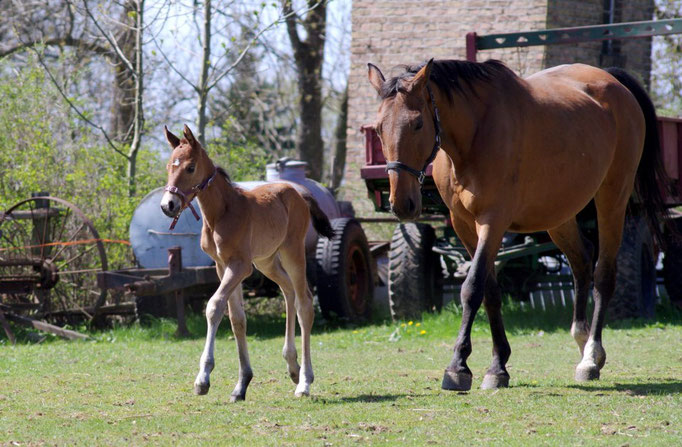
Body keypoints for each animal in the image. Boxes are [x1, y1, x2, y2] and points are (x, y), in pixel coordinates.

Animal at [157, 124, 332, 400]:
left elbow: (214, 307)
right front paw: (241, 384)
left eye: (190, 167)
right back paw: (292, 366)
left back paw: (304, 381)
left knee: (304, 303)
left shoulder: (239, 266)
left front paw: (203, 379)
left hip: (292, 251)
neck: (222, 213)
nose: (168, 205)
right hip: (266, 261)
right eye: (168, 167)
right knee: (288, 291)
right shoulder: (223, 266)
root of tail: (299, 192)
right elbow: (237, 318)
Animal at [366, 60, 664, 392]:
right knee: (582, 262)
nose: (402, 203)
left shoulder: (493, 221)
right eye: (378, 128)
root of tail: (614, 82)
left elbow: (472, 288)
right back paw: (581, 337)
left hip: (613, 199)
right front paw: (498, 365)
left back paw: (591, 356)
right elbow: (490, 292)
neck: (474, 136)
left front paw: (458, 367)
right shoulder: (463, 225)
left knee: (603, 275)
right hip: (559, 214)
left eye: (418, 124)